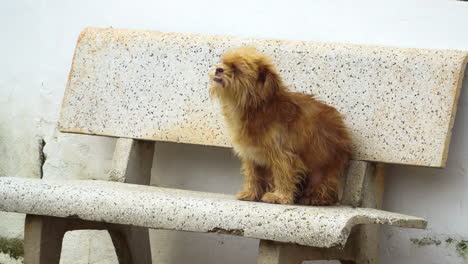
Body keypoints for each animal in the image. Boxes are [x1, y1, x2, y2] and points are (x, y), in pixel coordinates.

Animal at [209, 46, 352, 205]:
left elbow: (283, 175)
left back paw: (314, 198)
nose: (219, 69)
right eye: (223, 63)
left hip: (320, 173)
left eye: (236, 69)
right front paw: (251, 193)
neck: (255, 108)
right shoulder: (251, 156)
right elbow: (253, 175)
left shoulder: (282, 155)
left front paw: (280, 197)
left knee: (326, 189)